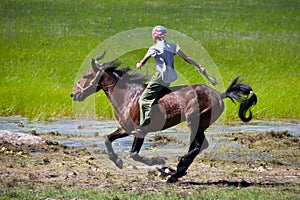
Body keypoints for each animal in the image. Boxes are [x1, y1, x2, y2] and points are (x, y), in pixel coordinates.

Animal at [71, 52, 258, 183]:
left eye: (86, 76)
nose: (73, 94)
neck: (128, 96)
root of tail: (220, 94)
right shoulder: (126, 128)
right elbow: (108, 139)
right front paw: (117, 161)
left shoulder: (140, 131)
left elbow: (134, 154)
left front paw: (160, 163)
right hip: (198, 125)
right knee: (198, 145)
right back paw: (176, 172)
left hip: (195, 122)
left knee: (199, 145)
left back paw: (175, 170)